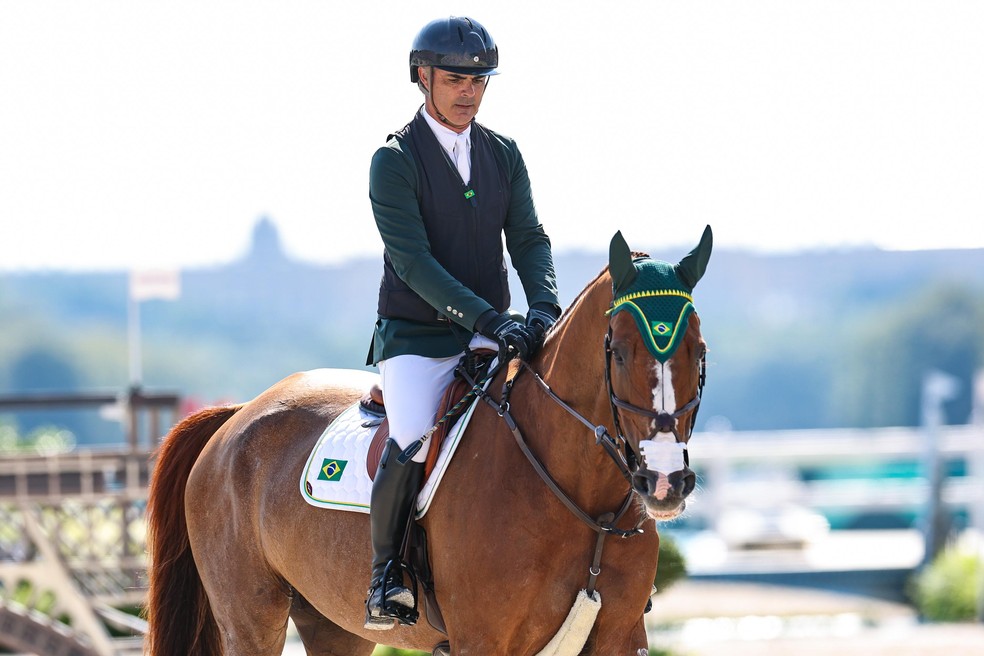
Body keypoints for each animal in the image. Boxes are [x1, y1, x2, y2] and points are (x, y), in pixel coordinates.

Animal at [146, 228, 712, 652]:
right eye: (618, 351)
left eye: (699, 351)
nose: (664, 483)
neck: (584, 501)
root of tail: (237, 416)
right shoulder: (483, 640)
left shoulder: (621, 635)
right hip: (251, 616)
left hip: (333, 621)